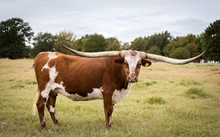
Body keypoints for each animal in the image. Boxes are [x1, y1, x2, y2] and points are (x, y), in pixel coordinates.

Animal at [33, 46, 205, 128]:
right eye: (125, 63)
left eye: (139, 64)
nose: (132, 77)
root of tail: (43, 54)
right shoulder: (107, 92)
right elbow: (108, 110)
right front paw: (107, 127)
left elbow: (112, 110)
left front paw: (110, 125)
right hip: (45, 88)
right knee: (41, 104)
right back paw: (44, 127)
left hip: (54, 90)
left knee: (51, 106)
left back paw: (58, 125)